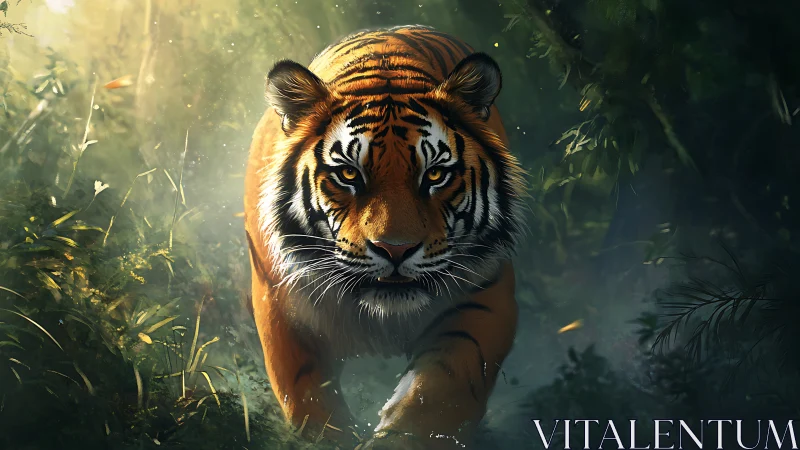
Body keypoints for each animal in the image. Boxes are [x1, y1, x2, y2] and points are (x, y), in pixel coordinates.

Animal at [243, 25, 526, 449]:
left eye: (435, 174)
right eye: (348, 174)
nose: (396, 249)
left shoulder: (485, 294)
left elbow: (440, 391)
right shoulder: (280, 301)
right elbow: (309, 398)